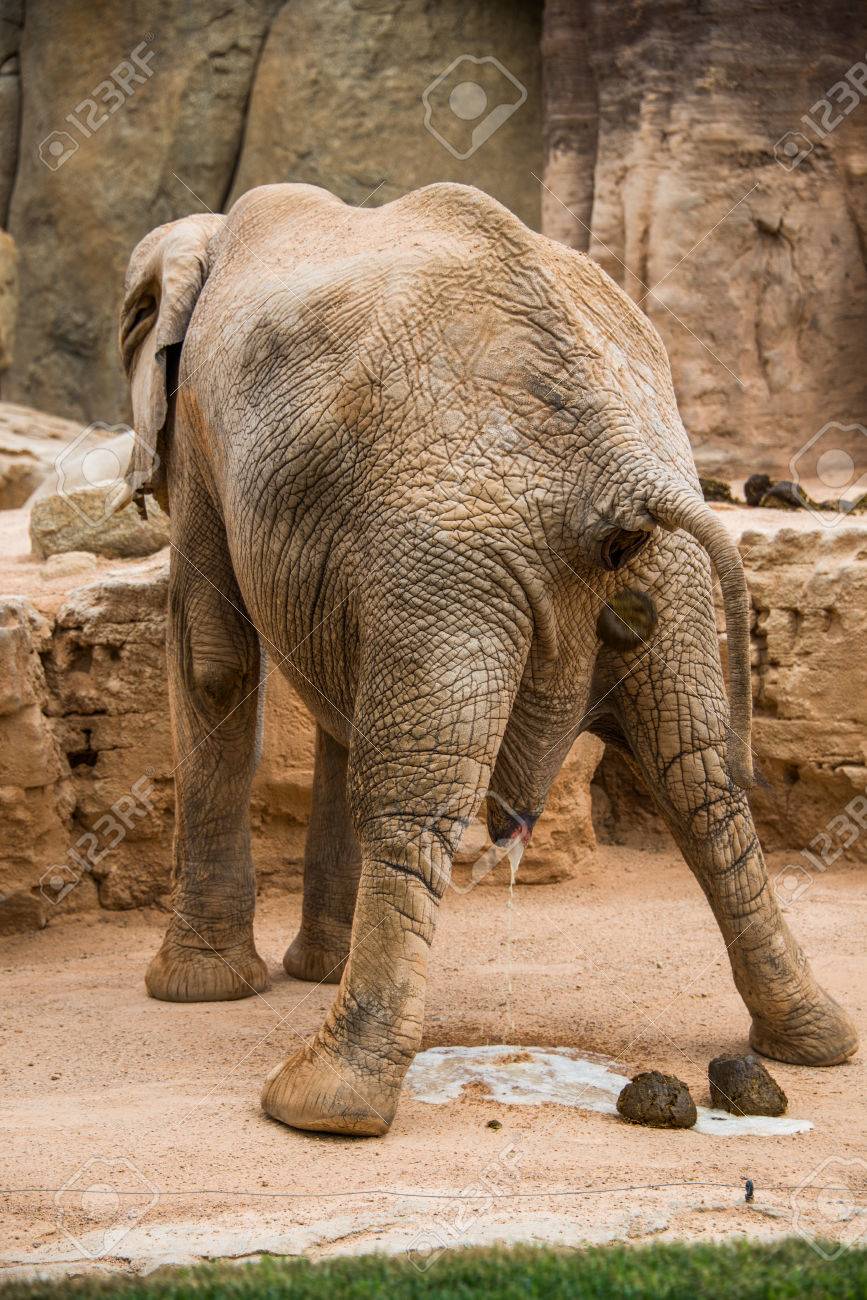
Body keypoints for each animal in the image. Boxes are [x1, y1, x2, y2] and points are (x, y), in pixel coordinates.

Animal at [117, 181, 857, 1137]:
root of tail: (613, 463)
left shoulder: (205, 438)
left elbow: (213, 659)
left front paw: (198, 993)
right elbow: (324, 694)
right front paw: (299, 971)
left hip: (449, 560)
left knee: (417, 788)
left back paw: (319, 1106)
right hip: (650, 568)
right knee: (698, 776)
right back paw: (813, 1041)